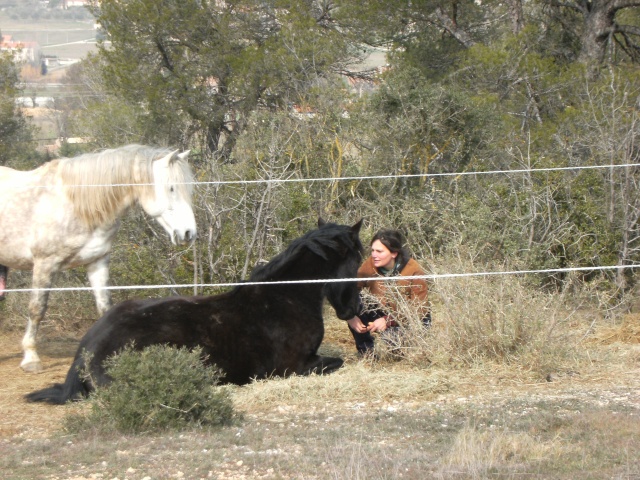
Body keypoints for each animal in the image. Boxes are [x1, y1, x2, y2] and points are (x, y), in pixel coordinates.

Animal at [0, 144, 198, 374]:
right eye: (171, 188)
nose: (188, 233)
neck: (75, 204)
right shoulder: (44, 264)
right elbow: (37, 310)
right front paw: (31, 358)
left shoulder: (97, 262)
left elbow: (105, 308)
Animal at [25, 219, 362, 404]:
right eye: (357, 261)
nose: (354, 309)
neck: (285, 298)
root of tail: (86, 349)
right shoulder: (296, 366)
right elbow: (338, 362)